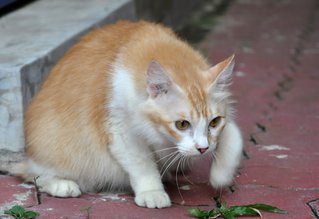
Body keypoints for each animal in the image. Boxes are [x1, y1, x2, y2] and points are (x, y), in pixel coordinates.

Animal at [16, 20, 244, 209]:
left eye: (214, 122)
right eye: (182, 124)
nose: (203, 149)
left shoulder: (226, 122)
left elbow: (233, 137)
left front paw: (221, 175)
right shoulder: (120, 130)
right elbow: (143, 165)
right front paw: (152, 192)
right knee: (32, 175)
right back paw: (62, 185)